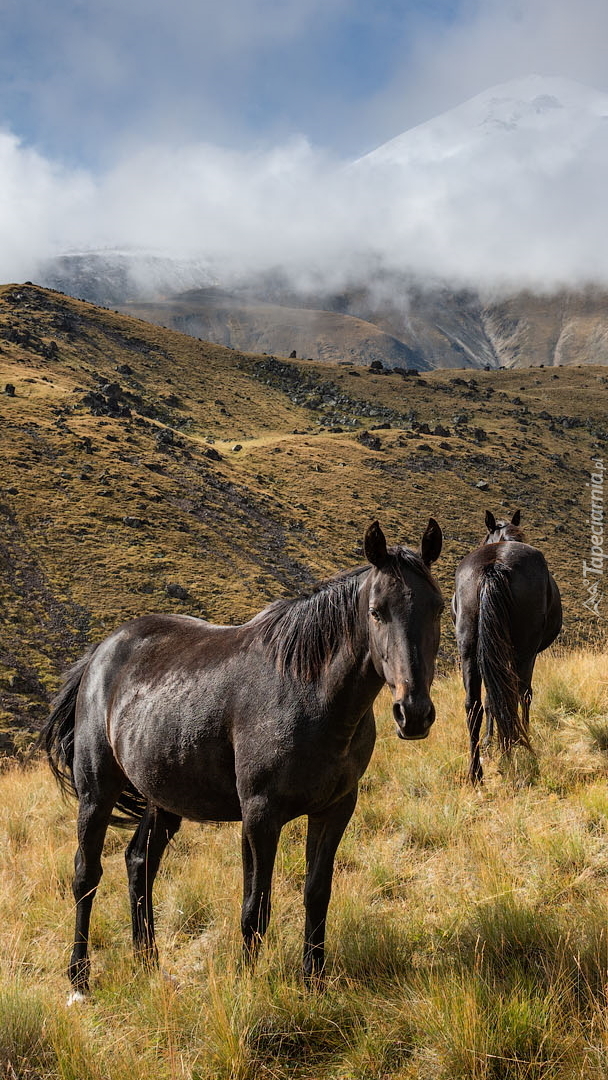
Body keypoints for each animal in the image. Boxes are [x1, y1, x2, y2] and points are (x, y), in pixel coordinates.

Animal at [41, 518, 442, 997]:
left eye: (439, 609)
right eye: (377, 612)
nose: (413, 713)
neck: (309, 693)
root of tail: (100, 653)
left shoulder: (335, 808)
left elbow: (316, 894)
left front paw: (314, 981)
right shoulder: (259, 815)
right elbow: (256, 906)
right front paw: (249, 987)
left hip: (163, 799)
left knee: (140, 863)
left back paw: (150, 964)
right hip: (96, 792)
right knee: (86, 875)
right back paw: (79, 978)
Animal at [451, 509, 561, 781]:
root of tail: (495, 565)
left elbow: (490, 698)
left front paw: (490, 741)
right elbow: (523, 695)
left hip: (468, 650)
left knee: (474, 704)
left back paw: (476, 772)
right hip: (524, 652)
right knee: (518, 694)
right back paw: (515, 749)